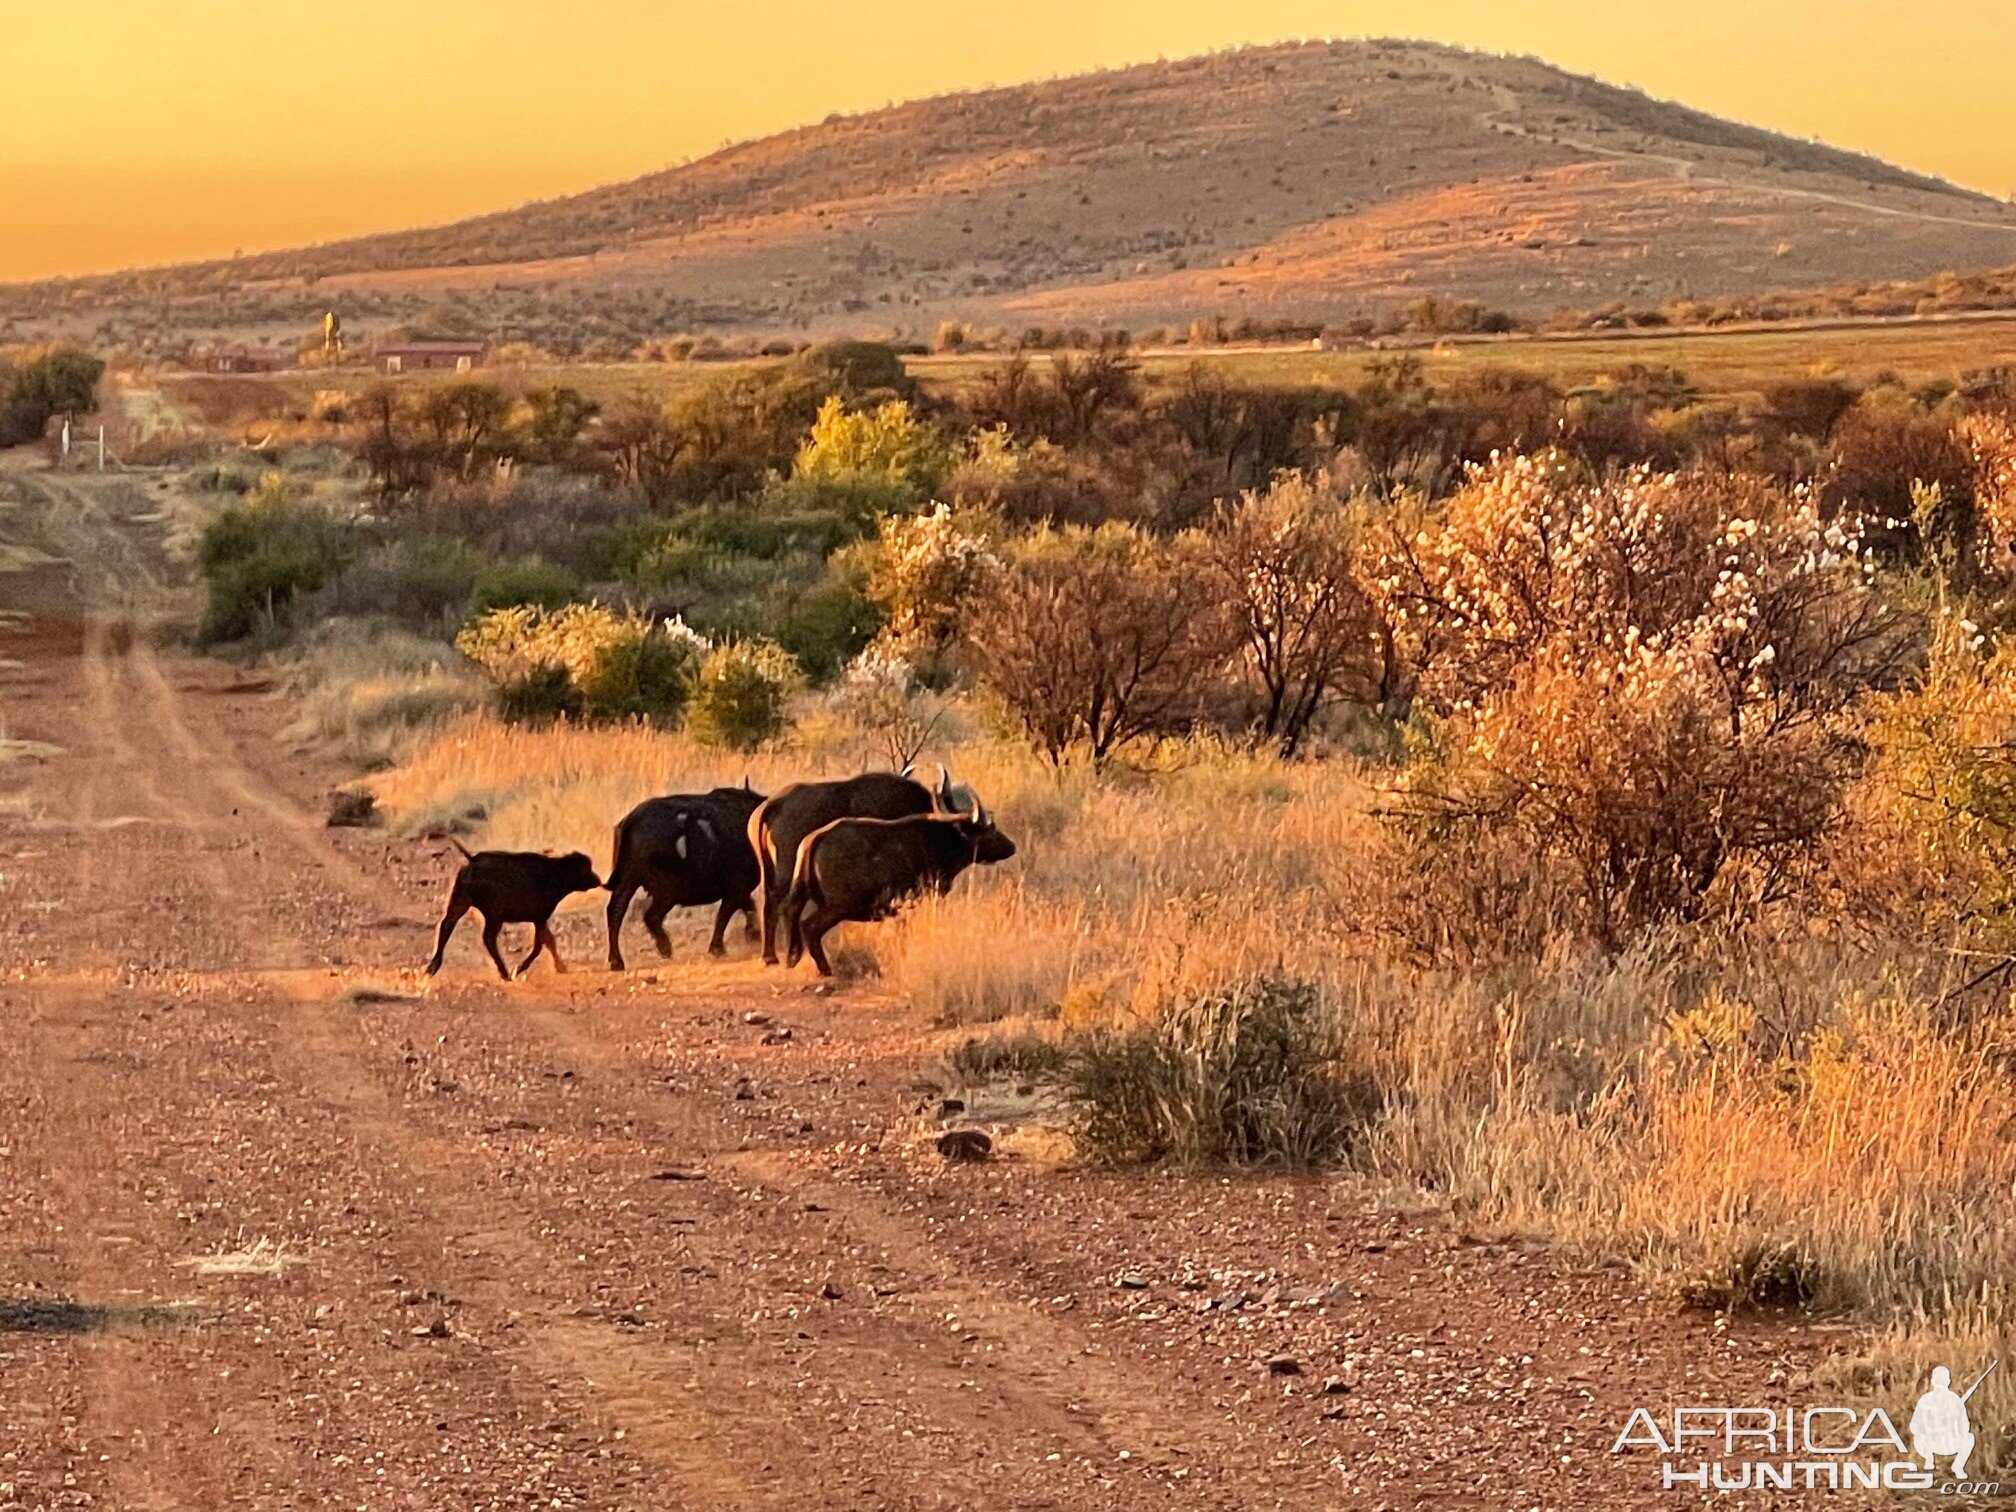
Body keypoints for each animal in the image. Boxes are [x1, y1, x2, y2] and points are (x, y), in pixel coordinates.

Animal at [425, 842, 596, 983]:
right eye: (586, 868)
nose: (598, 880)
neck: (555, 873)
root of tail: (473, 860)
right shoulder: (540, 918)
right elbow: (540, 945)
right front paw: (518, 970)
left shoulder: (539, 919)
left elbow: (549, 941)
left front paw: (561, 967)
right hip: (493, 916)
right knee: (488, 938)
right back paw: (505, 973)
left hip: (461, 903)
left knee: (447, 925)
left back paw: (431, 968)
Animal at [600, 782, 766, 971]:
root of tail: (630, 821)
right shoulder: (737, 888)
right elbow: (725, 916)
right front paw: (719, 948)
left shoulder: (740, 891)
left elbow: (747, 908)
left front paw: (753, 936)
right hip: (664, 890)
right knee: (644, 915)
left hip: (630, 882)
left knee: (622, 912)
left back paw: (623, 959)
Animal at [758, 770, 975, 971]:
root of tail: (772, 805)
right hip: (788, 876)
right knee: (786, 908)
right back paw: (787, 955)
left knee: (774, 906)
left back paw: (777, 956)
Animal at [778, 806, 1016, 983]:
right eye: (990, 829)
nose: (1011, 846)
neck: (944, 839)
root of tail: (815, 838)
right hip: (838, 907)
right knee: (809, 926)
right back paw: (825, 970)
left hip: (805, 895)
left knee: (791, 912)